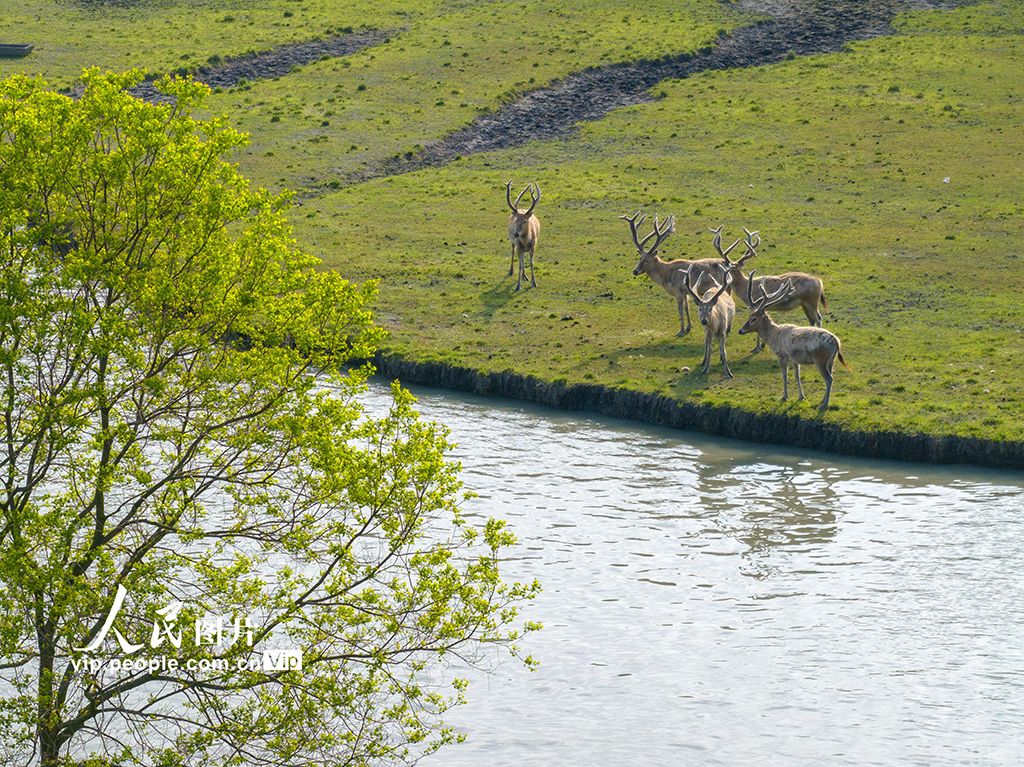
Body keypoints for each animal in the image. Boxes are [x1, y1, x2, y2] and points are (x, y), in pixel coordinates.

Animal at [737, 271, 848, 411]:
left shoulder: (782, 355)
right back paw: (822, 400)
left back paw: (823, 405)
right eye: (749, 316)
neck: (774, 336)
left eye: (754, 319)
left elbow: (784, 375)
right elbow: (797, 376)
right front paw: (801, 397)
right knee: (832, 375)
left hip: (821, 360)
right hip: (831, 361)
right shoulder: (795, 359)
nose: (740, 330)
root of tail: (837, 342)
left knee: (829, 379)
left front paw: (784, 397)